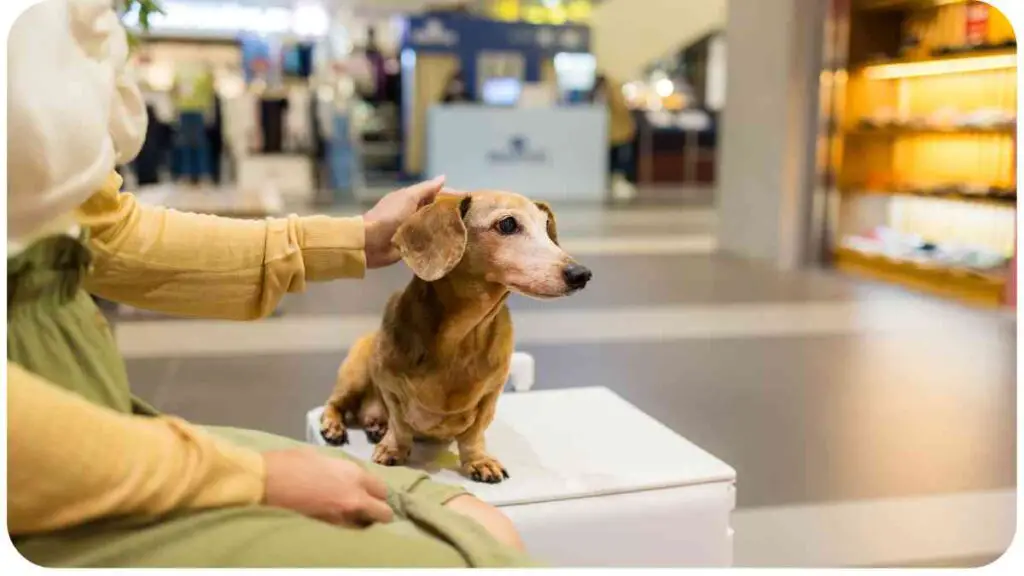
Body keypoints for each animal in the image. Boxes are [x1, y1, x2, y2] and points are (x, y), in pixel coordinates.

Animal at [319, 190, 593, 481]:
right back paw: (336, 427)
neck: (461, 337)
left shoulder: (490, 396)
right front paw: (393, 448)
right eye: (508, 224)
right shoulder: (389, 386)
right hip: (355, 374)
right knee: (334, 403)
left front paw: (479, 460)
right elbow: (400, 423)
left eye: (546, 226)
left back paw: (375, 425)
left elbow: (473, 433)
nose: (582, 274)